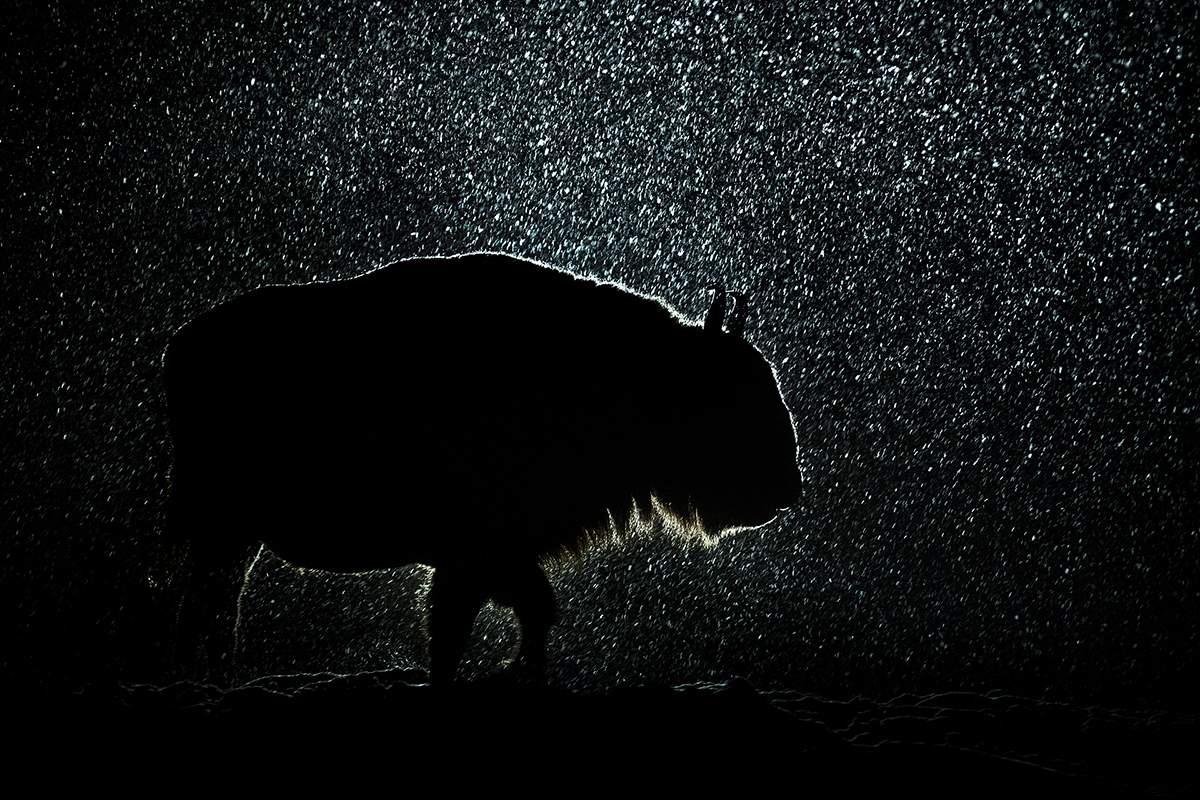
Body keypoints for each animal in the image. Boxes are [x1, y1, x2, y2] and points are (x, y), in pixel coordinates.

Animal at [159, 255, 796, 681]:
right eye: (735, 395)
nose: (787, 487)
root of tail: (182, 343)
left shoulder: (502, 553)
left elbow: (531, 610)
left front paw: (521, 672)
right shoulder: (476, 553)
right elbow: (460, 626)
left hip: (236, 535)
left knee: (214, 602)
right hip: (224, 527)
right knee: (207, 603)